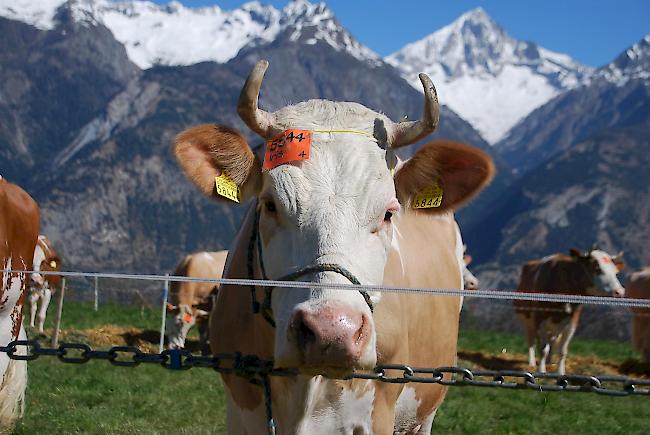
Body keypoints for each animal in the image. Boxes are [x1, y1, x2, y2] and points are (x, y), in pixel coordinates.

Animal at [172, 59, 492, 434]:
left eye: (388, 213)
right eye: (269, 204)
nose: (331, 333)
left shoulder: (379, 412)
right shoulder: (240, 409)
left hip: (425, 408)